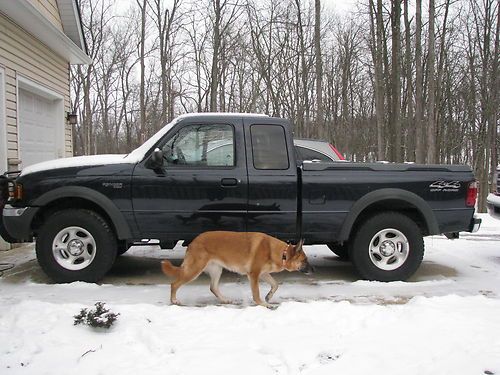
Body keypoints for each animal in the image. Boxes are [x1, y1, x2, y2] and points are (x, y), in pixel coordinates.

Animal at [162, 232, 310, 308]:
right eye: (304, 261)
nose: (312, 270)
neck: (282, 253)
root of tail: (193, 242)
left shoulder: (263, 274)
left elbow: (275, 284)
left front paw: (269, 296)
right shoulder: (254, 275)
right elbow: (256, 293)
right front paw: (263, 304)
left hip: (217, 270)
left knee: (213, 287)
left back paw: (224, 300)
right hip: (194, 270)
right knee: (174, 284)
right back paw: (174, 300)